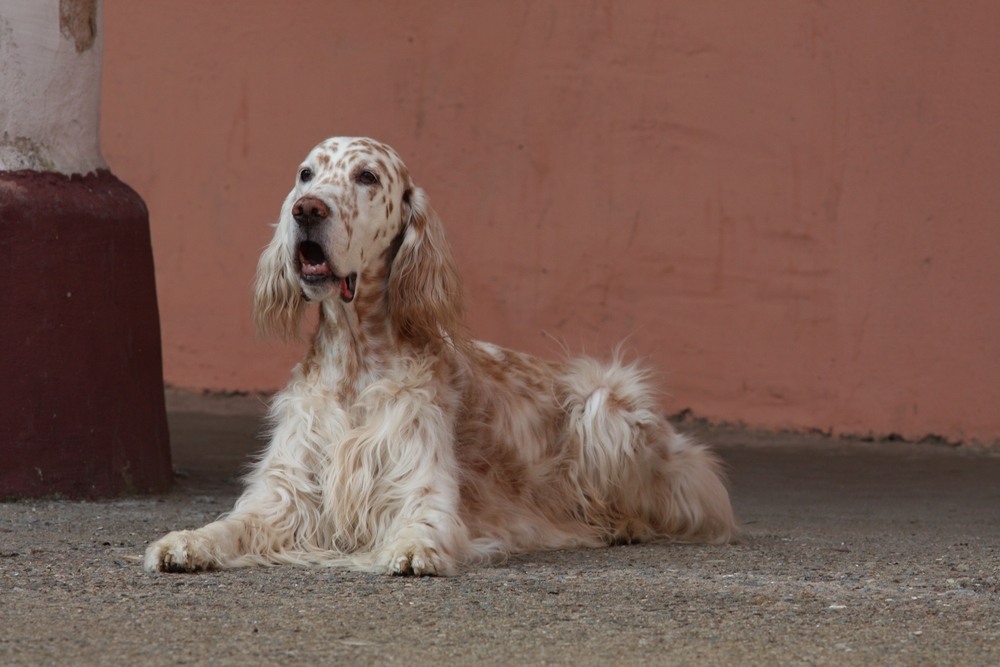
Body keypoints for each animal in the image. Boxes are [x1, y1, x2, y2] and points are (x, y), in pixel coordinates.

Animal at [143, 138, 736, 576]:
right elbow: (231, 525)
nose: (305, 210)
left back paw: (622, 524)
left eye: (366, 177)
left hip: (604, 405)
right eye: (306, 174)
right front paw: (185, 542)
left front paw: (411, 551)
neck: (357, 360)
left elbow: (421, 526)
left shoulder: (422, 492)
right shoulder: (285, 494)